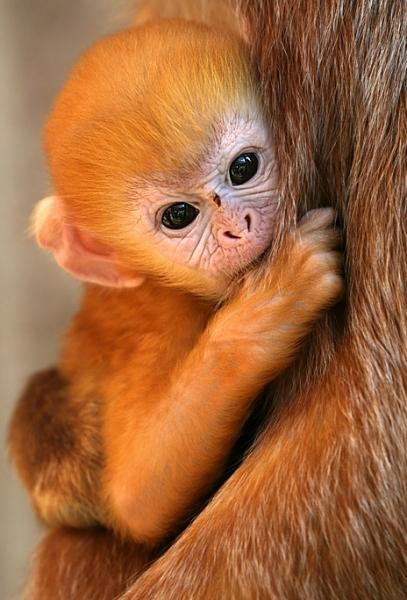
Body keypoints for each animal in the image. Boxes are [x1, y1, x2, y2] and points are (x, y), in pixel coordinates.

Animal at [8, 18, 344, 548]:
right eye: (179, 215)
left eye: (243, 167)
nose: (237, 229)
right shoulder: (160, 322)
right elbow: (138, 493)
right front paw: (268, 307)